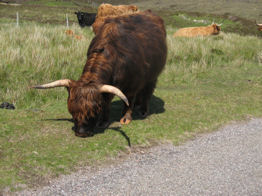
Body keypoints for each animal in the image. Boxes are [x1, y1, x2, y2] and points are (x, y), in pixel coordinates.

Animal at [32, 9, 167, 137]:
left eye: (94, 111)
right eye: (71, 111)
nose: (82, 133)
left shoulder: (133, 83)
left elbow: (128, 101)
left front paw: (126, 118)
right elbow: (107, 103)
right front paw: (103, 122)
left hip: (153, 75)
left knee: (148, 91)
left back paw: (143, 110)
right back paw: (138, 105)